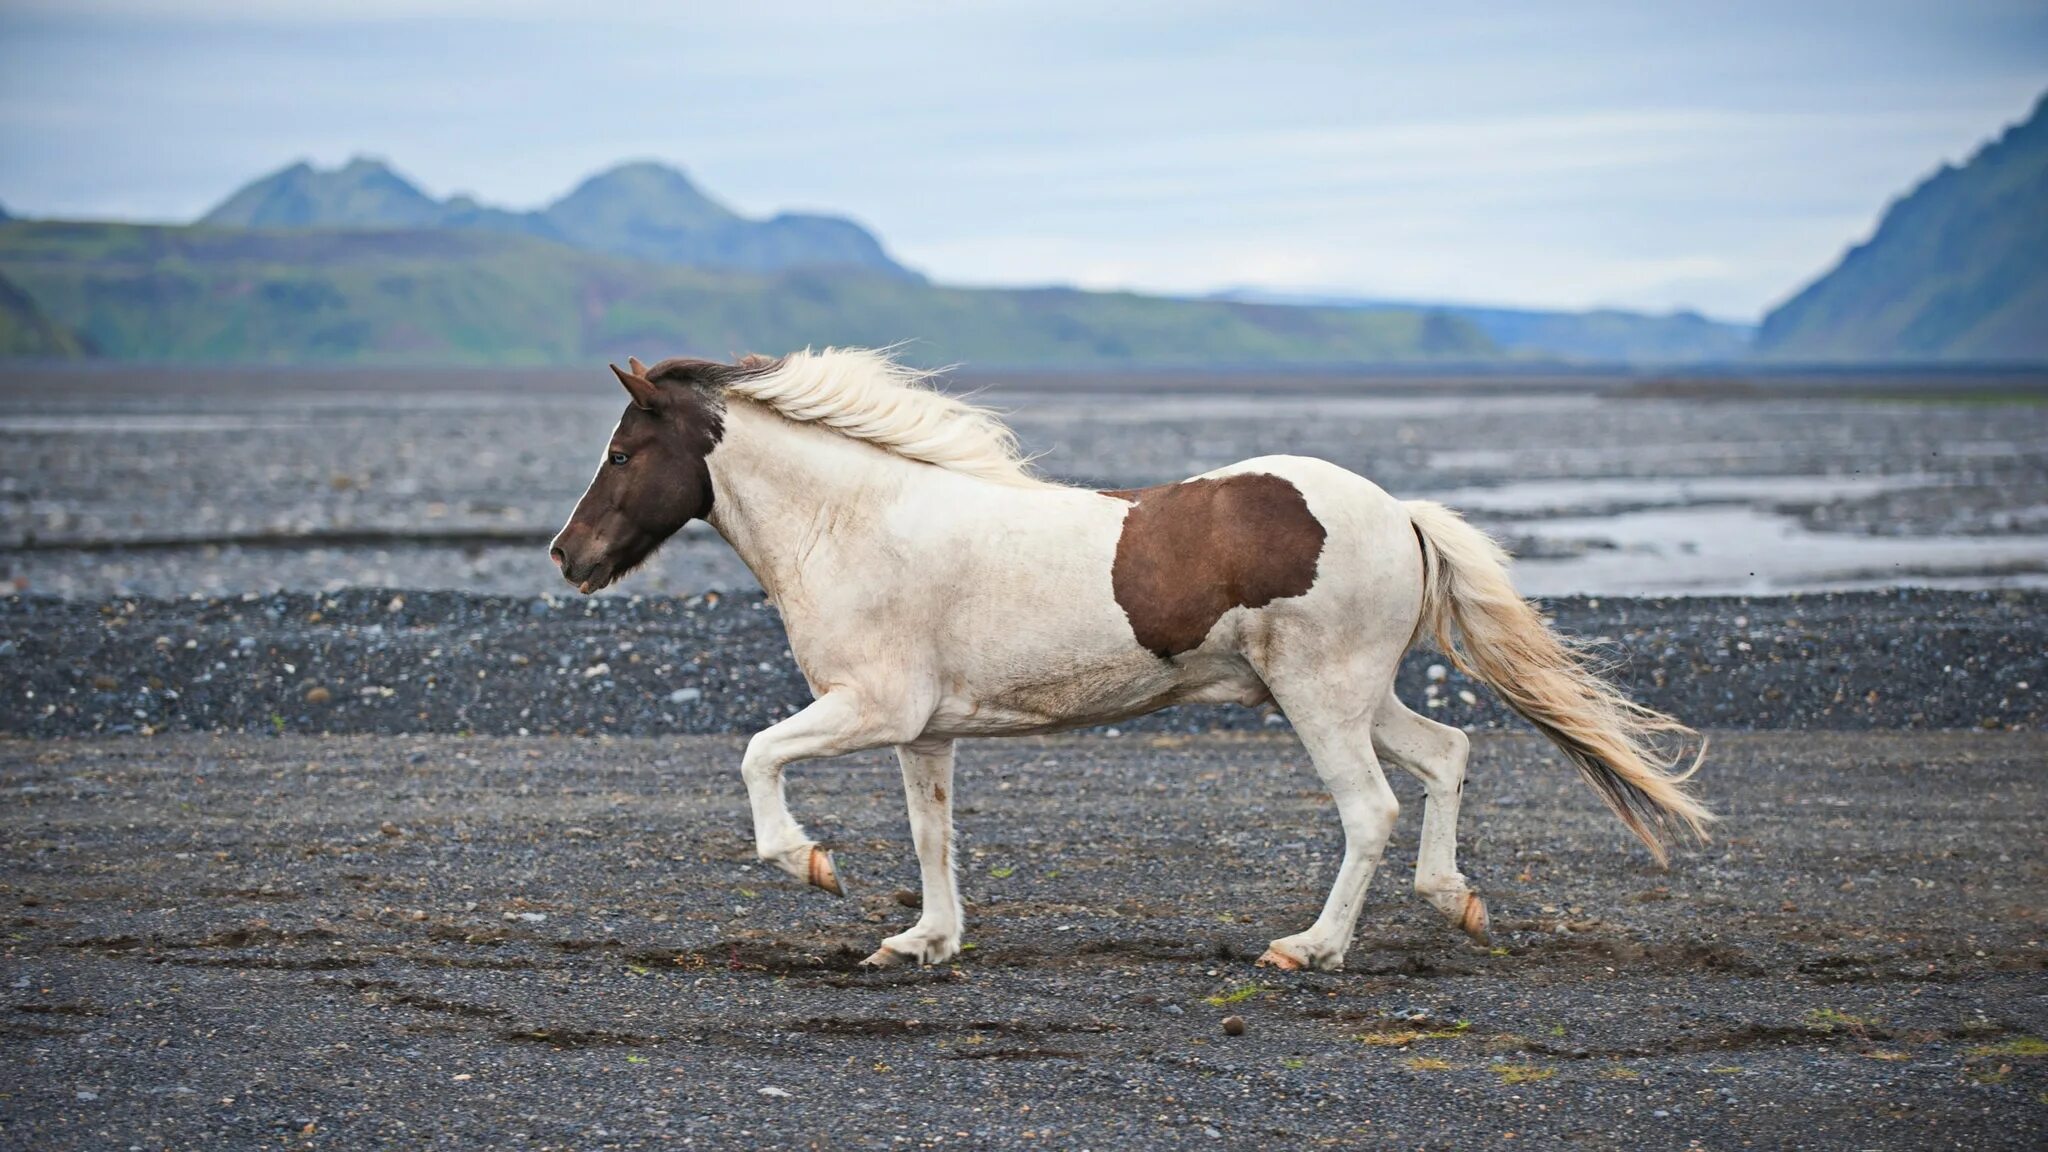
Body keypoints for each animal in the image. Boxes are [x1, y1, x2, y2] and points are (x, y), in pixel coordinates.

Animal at [548, 344, 1712, 963]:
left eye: (621, 451)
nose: (567, 556)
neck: (859, 522)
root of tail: (1398, 512)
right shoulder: (923, 732)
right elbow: (932, 837)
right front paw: (924, 941)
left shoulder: (868, 707)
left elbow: (755, 755)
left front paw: (809, 865)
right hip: (1351, 693)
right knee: (1446, 755)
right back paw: (1452, 900)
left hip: (1319, 696)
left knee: (1371, 807)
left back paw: (1311, 949)